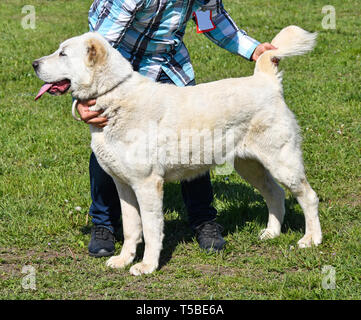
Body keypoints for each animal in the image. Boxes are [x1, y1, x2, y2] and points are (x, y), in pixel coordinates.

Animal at [33, 25, 320, 276]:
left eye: (63, 53)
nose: (34, 64)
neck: (115, 98)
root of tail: (266, 81)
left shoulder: (148, 184)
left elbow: (150, 230)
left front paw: (147, 266)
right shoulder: (123, 185)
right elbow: (131, 228)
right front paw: (124, 260)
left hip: (282, 162)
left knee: (308, 196)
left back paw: (311, 239)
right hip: (250, 166)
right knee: (275, 193)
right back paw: (271, 233)